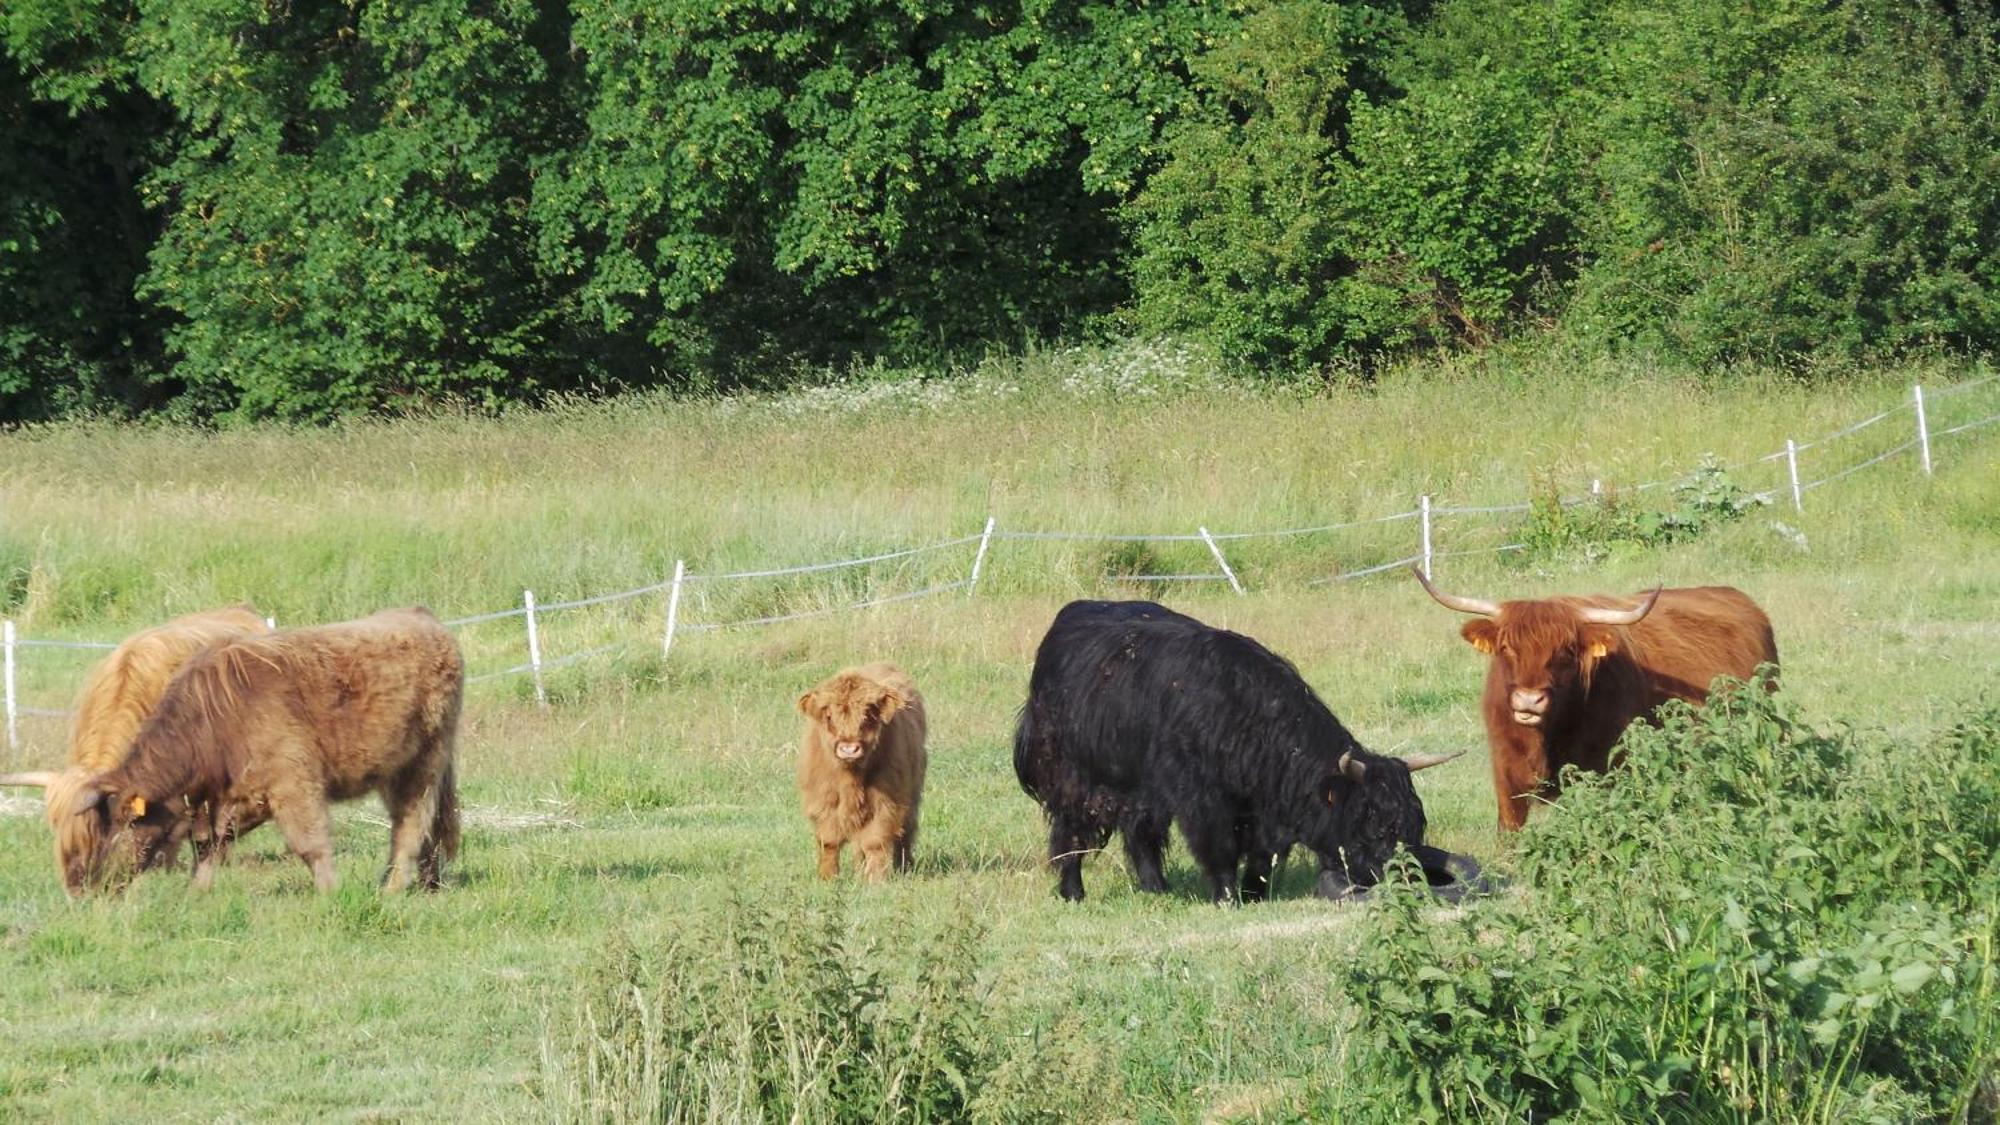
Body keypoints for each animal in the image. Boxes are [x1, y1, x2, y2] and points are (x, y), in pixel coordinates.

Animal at [75, 608, 464, 888]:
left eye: (125, 824)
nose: (100, 880)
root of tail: (422, 616)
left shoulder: (295, 784)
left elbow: (310, 843)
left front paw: (329, 890)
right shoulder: (229, 800)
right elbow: (209, 846)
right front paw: (196, 892)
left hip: (423, 765)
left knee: (411, 824)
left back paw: (393, 886)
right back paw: (426, 882)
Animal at [792, 660, 924, 880]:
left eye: (868, 715)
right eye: (829, 716)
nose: (849, 749)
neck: (850, 777)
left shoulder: (886, 803)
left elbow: (875, 841)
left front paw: (875, 879)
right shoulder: (823, 800)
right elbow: (829, 841)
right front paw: (828, 878)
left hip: (912, 795)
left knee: (906, 832)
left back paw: (905, 866)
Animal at [1016, 600, 1472, 896]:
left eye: (1415, 827)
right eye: (1373, 826)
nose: (1407, 881)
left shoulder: (1262, 812)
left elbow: (1262, 856)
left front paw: (1254, 893)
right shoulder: (1203, 801)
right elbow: (1218, 850)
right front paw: (1227, 896)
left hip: (1138, 787)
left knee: (1140, 832)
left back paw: (1156, 887)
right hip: (1072, 776)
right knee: (1071, 833)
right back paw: (1073, 891)